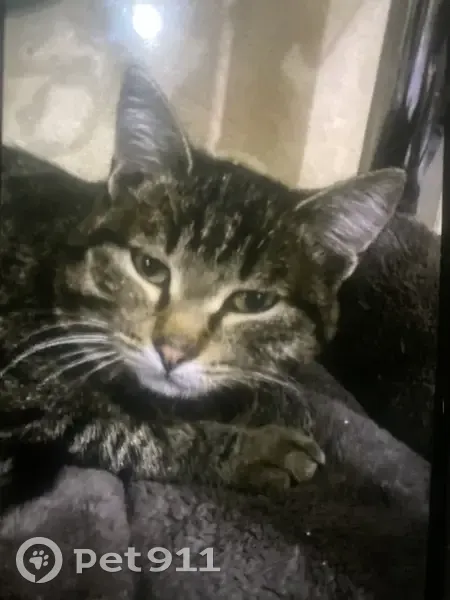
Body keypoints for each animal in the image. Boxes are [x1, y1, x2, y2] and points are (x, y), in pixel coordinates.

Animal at [0, 61, 429, 502]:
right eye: (149, 266)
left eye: (253, 302)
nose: (171, 352)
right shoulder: (22, 393)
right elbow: (121, 427)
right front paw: (251, 450)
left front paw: (270, 399)